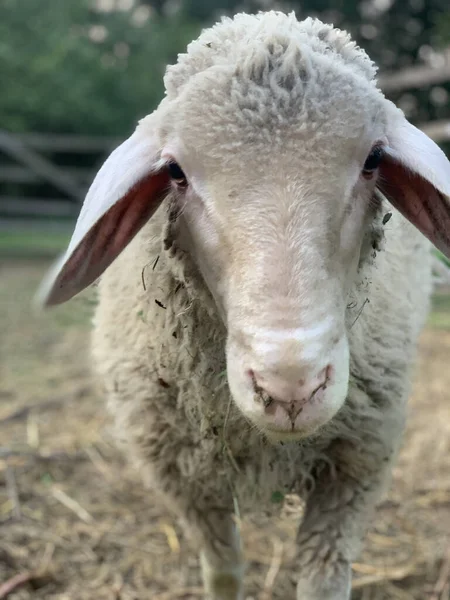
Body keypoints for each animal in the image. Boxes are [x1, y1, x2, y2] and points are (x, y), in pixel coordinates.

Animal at [38, 9, 450, 600]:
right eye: (175, 172)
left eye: (374, 158)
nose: (290, 388)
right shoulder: (184, 472)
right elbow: (224, 570)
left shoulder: (356, 466)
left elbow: (323, 580)